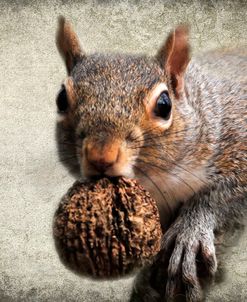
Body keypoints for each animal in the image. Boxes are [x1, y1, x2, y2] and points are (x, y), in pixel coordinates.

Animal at [55, 15, 247, 302]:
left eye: (164, 105)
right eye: (61, 100)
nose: (101, 156)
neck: (163, 180)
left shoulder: (237, 138)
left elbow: (219, 195)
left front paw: (190, 231)